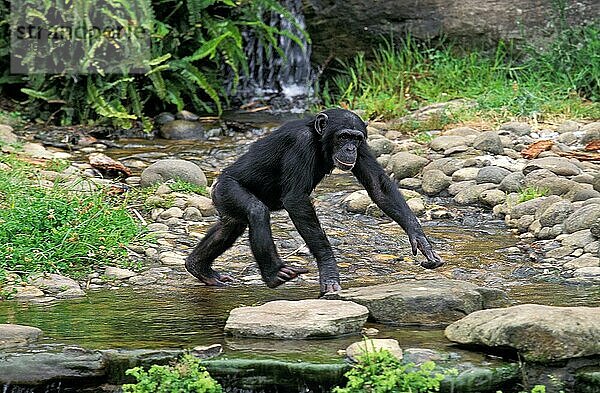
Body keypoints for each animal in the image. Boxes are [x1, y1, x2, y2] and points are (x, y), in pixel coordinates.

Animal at [185, 108, 442, 292]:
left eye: (356, 139)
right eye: (343, 137)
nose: (350, 149)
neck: (320, 140)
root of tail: (218, 183)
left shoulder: (365, 147)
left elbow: (378, 187)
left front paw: (420, 238)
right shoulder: (300, 144)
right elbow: (297, 200)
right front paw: (329, 268)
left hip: (225, 201)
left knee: (229, 226)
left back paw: (199, 267)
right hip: (227, 189)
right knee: (256, 212)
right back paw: (274, 274)